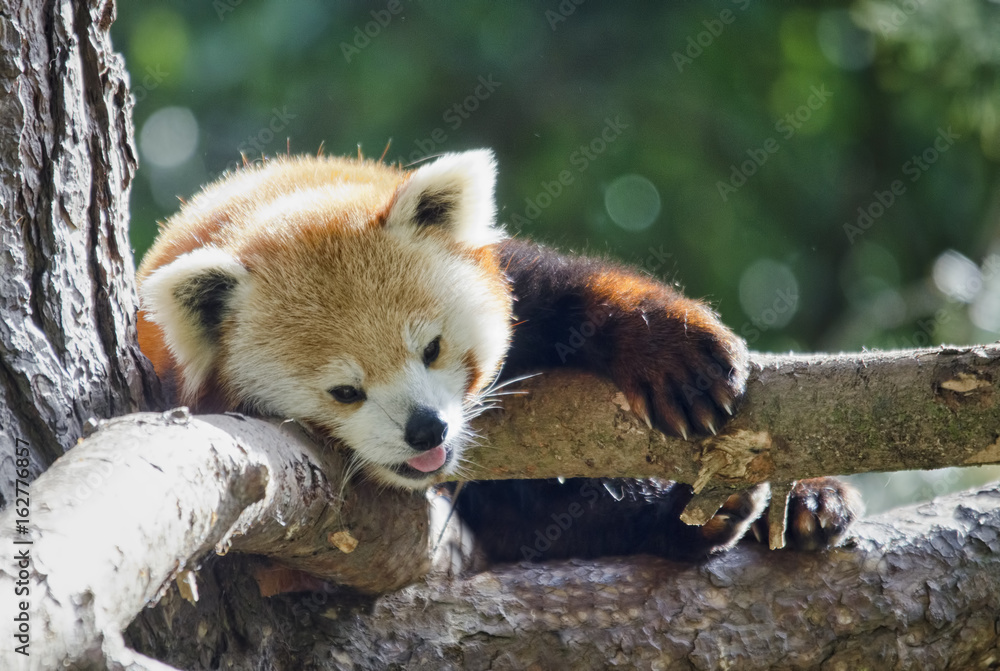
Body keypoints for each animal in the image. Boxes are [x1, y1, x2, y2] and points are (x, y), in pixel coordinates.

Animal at [136, 149, 860, 566]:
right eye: (345, 391)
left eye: (431, 349)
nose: (425, 429)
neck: (265, 208)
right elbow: (541, 525)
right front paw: (692, 515)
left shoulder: (509, 272)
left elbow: (579, 288)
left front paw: (678, 358)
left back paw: (813, 500)